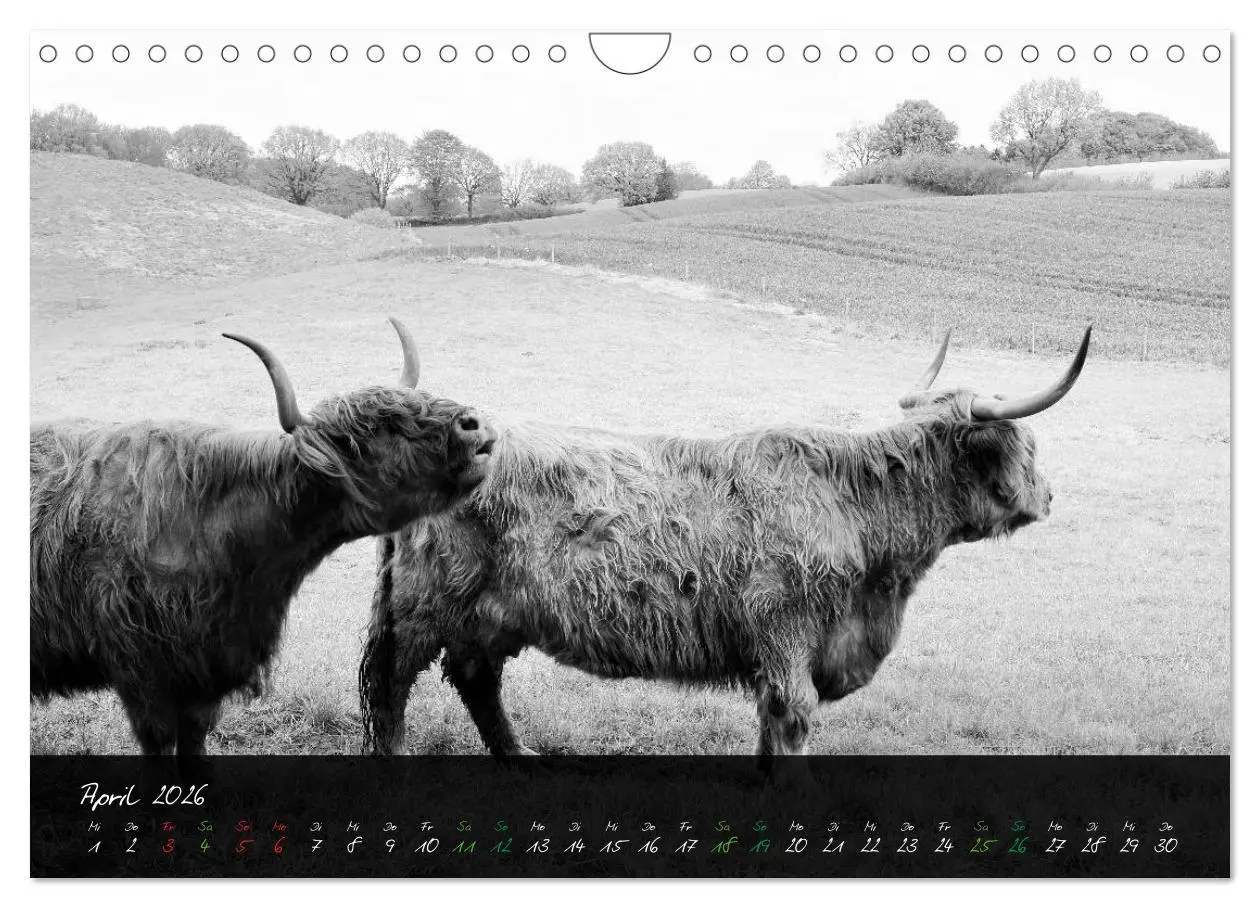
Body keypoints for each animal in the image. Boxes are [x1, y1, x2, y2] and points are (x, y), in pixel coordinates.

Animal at [358, 328, 1090, 775]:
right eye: (1027, 446)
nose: (1050, 496)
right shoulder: (787, 632)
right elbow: (792, 717)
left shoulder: (784, 648)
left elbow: (771, 719)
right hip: (423, 608)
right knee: (390, 685)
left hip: (487, 617)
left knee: (475, 679)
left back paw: (521, 758)